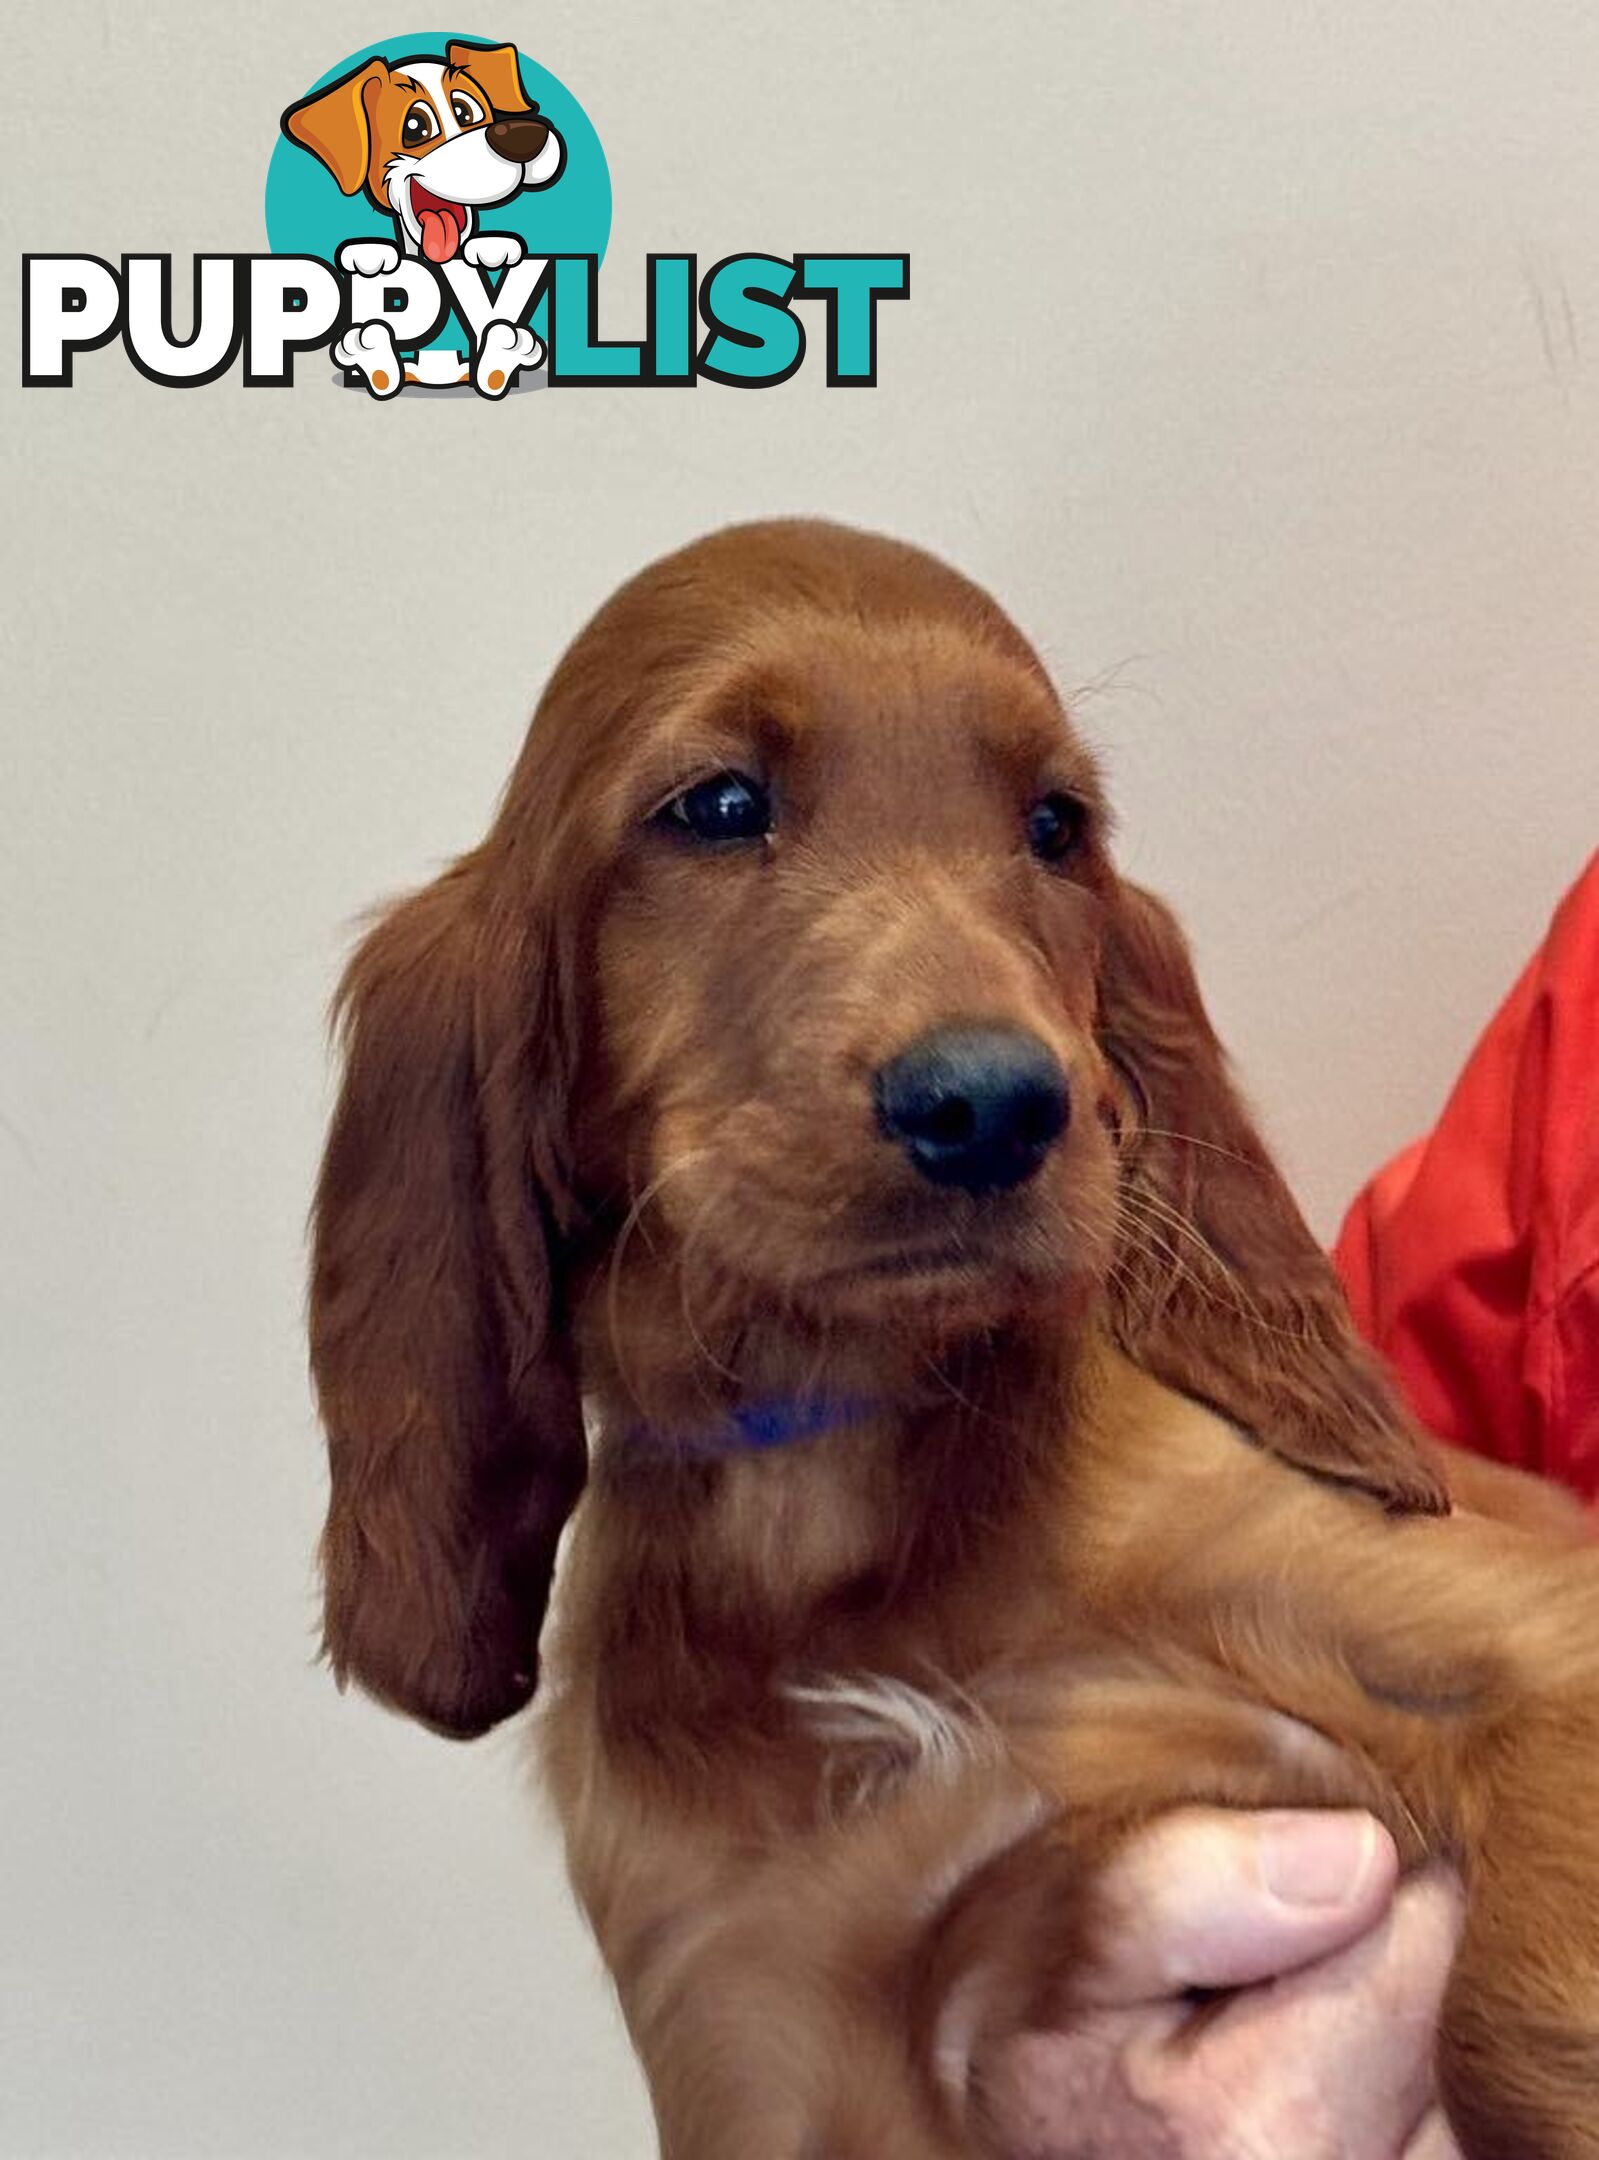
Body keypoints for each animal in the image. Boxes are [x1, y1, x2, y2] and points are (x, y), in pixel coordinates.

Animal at [308, 514, 1598, 2151]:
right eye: (717, 806)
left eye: (1054, 828)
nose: (993, 1104)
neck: (831, 1488)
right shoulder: (766, 2034)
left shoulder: (1540, 1646)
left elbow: (1503, 2014)